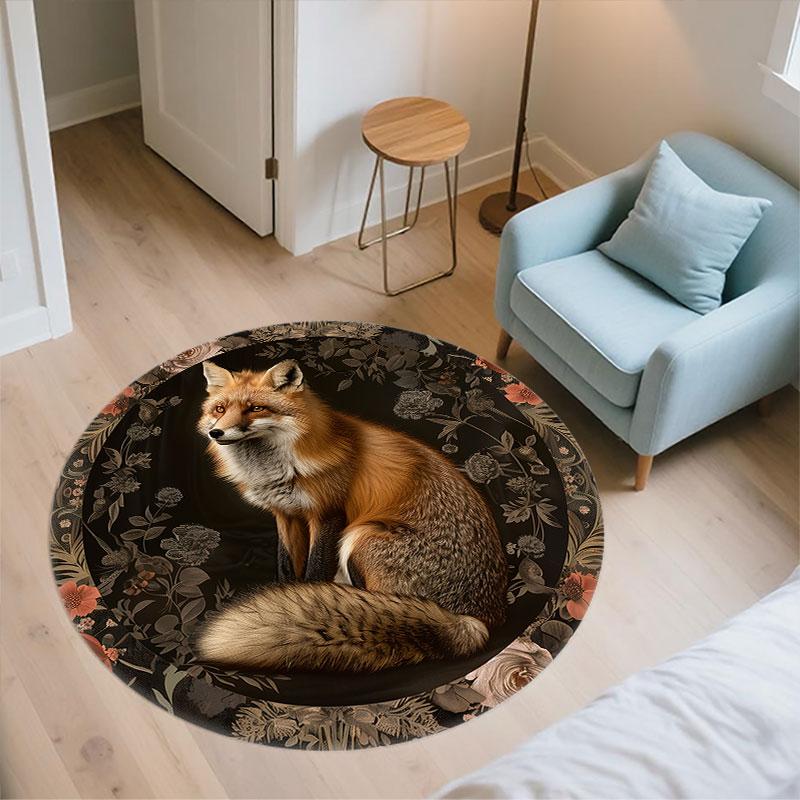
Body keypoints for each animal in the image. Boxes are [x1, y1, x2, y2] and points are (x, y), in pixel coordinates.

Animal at [193, 358, 508, 673]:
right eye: (220, 409)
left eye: (255, 408)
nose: (216, 433)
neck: (277, 470)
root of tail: (479, 619)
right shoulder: (286, 514)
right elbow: (286, 565)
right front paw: (283, 594)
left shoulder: (327, 515)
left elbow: (314, 572)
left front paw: (297, 597)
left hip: (362, 536)